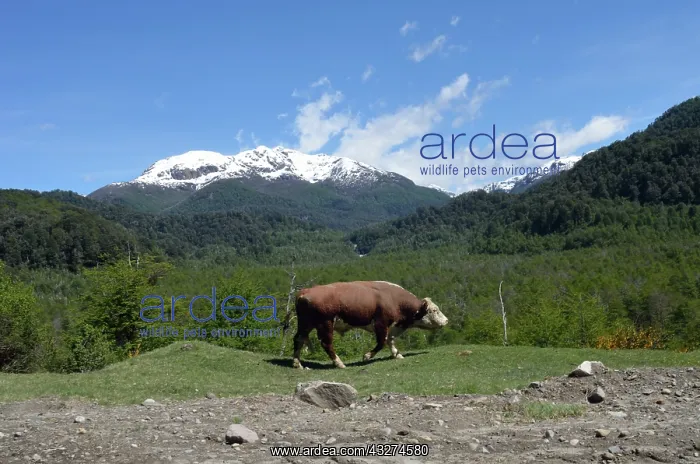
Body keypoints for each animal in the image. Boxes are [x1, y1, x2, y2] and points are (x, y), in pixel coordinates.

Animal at [291, 280, 448, 369]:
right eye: (434, 310)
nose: (446, 320)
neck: (394, 298)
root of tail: (305, 292)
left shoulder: (394, 326)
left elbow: (390, 340)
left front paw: (397, 354)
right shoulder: (381, 324)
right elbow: (381, 342)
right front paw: (366, 356)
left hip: (305, 324)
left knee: (298, 339)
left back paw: (297, 363)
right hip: (325, 324)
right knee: (326, 344)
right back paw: (340, 364)